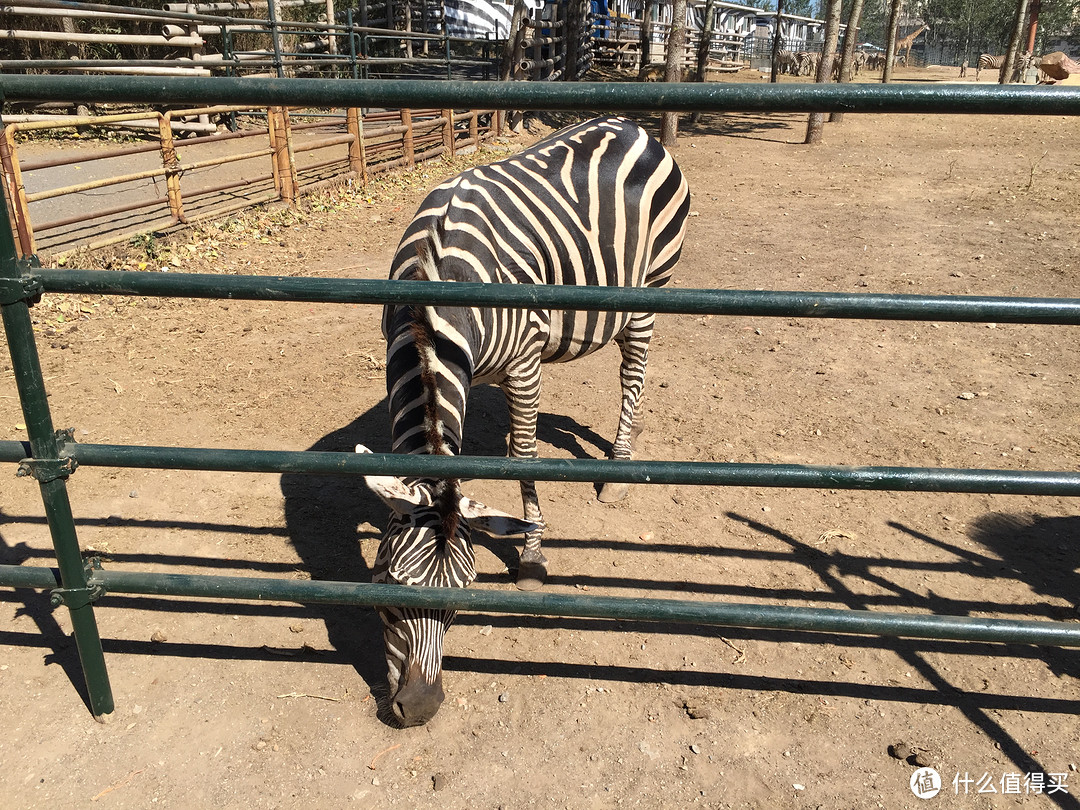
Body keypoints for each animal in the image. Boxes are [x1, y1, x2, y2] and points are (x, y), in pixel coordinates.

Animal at [354, 115, 691, 730]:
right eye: (388, 589)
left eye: (462, 602)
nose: (421, 708)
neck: (432, 294)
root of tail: (630, 123)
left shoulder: (525, 360)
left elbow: (525, 456)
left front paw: (533, 555)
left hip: (650, 290)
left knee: (632, 375)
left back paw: (617, 469)